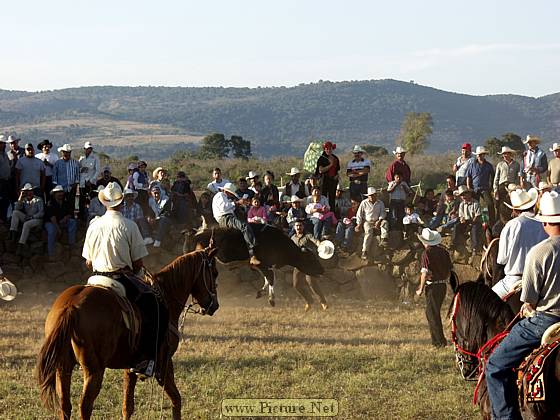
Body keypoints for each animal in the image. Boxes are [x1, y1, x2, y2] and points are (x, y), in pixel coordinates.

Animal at [35, 248, 219, 418]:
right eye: (215, 273)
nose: (214, 305)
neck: (166, 297)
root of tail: (71, 306)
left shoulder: (131, 366)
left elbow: (127, 406)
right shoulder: (164, 363)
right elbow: (176, 399)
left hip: (63, 366)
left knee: (65, 405)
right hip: (94, 370)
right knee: (85, 406)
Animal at [184, 223, 324, 306]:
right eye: (311, 259)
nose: (322, 270)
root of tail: (196, 233)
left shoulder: (260, 266)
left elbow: (268, 279)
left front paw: (260, 293)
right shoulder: (262, 264)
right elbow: (271, 279)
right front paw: (271, 300)